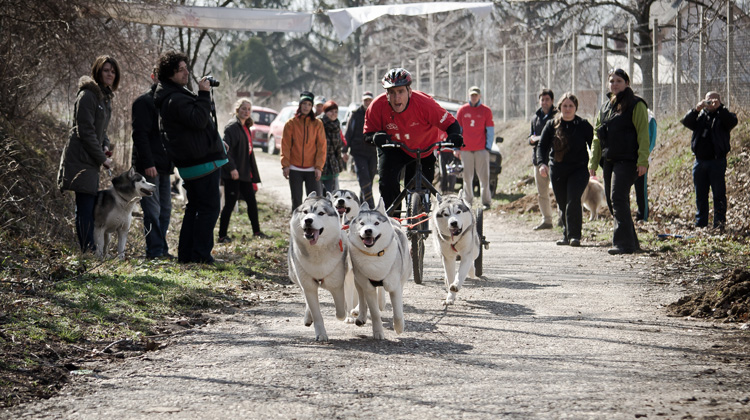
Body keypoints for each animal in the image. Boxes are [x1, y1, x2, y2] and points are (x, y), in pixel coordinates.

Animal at [288, 191, 350, 342]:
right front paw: (321, 334)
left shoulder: (336, 284)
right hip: (296, 276)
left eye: (321, 213)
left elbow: (341, 311)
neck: (317, 252)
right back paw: (308, 317)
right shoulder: (308, 285)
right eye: (305, 212)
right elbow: (315, 312)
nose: (308, 220)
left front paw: (344, 313)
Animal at [346, 199, 412, 340]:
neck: (374, 255)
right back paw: (360, 314)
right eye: (362, 223)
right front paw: (378, 332)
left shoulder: (394, 286)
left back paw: (382, 302)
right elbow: (374, 312)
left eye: (376, 223)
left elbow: (397, 311)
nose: (368, 231)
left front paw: (399, 327)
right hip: (358, 279)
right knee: (361, 296)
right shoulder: (368, 286)